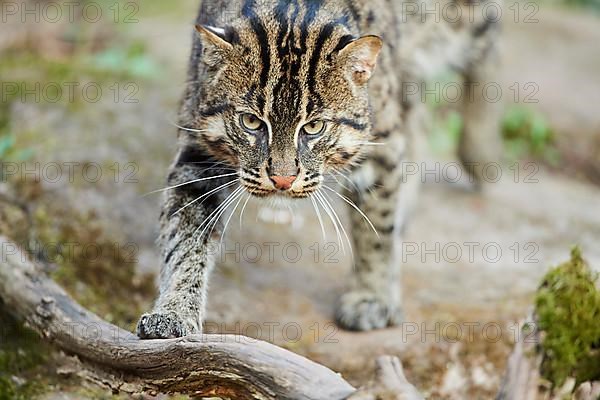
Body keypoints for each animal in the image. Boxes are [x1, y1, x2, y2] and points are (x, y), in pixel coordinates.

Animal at [136, 0, 502, 338]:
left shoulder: (381, 142)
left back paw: (481, 153)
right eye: (251, 122)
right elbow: (185, 235)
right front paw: (174, 311)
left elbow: (376, 228)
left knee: (489, 40)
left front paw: (372, 296)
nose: (282, 179)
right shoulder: (197, 150)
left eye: (314, 127)